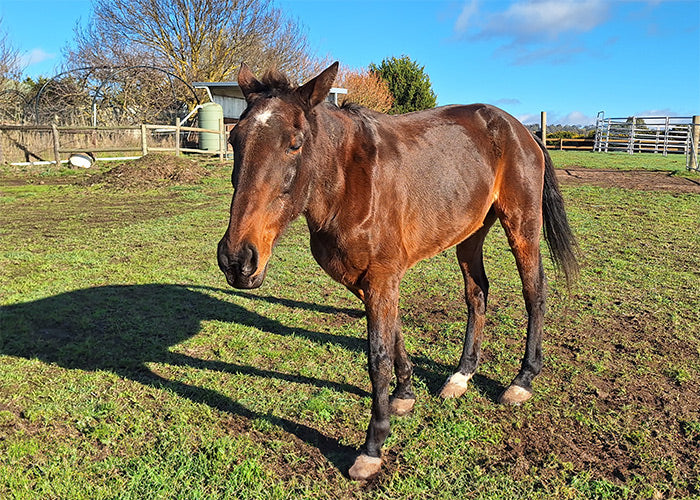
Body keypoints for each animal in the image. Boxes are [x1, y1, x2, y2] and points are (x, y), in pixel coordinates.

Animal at [216, 62, 576, 480]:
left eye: (294, 143)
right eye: (235, 139)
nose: (237, 260)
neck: (348, 181)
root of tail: (520, 129)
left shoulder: (380, 279)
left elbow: (378, 357)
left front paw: (373, 445)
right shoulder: (370, 281)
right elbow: (394, 337)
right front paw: (404, 395)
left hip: (522, 226)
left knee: (534, 293)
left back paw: (523, 380)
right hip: (471, 233)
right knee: (477, 294)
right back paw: (462, 375)